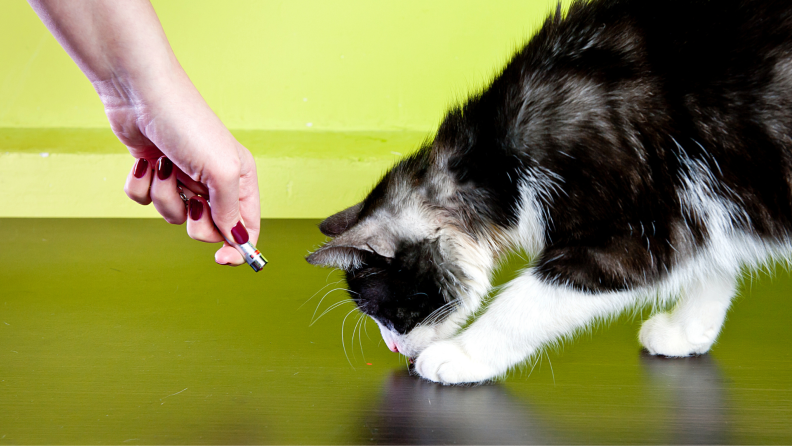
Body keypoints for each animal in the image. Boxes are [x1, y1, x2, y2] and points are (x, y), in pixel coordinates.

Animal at [304, 0, 792, 384]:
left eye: (390, 312)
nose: (392, 348)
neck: (497, 159)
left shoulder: (637, 229)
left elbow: (529, 301)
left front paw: (461, 356)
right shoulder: (704, 203)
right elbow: (715, 259)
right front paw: (688, 329)